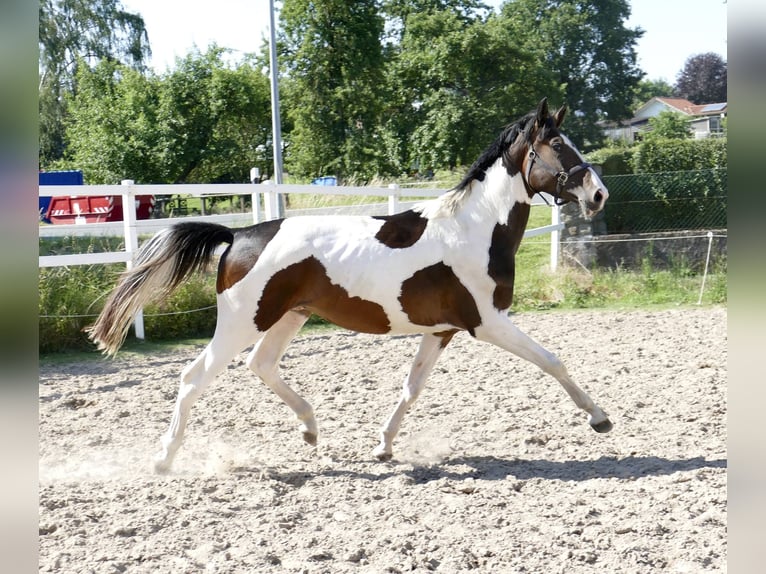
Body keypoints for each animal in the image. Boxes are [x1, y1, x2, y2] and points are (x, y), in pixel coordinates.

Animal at [90, 98, 616, 476]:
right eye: (557, 146)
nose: (598, 194)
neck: (473, 229)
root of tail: (238, 235)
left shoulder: (440, 331)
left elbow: (411, 388)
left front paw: (383, 446)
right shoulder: (487, 323)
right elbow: (553, 361)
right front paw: (599, 418)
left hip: (289, 317)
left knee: (262, 365)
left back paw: (310, 430)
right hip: (242, 322)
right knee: (193, 378)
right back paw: (164, 460)